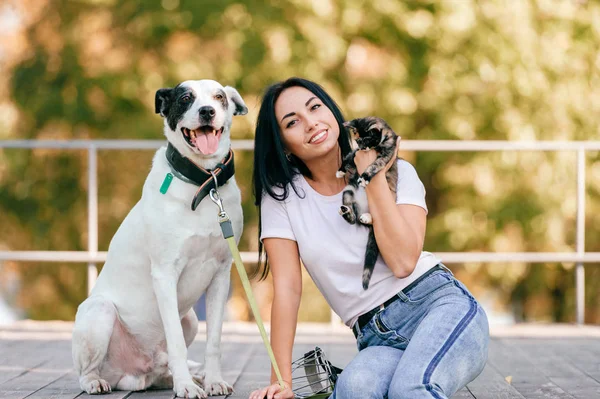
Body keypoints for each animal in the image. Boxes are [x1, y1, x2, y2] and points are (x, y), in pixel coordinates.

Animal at [72, 79, 246, 398]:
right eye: (186, 98)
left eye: (219, 97)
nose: (207, 111)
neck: (205, 184)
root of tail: (134, 374)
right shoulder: (165, 274)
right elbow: (175, 341)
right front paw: (187, 387)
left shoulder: (221, 274)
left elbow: (214, 341)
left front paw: (213, 381)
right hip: (99, 311)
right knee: (86, 371)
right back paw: (97, 382)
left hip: (190, 319)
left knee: (162, 366)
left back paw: (177, 377)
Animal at [338, 116, 398, 290]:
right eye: (357, 140)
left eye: (366, 139)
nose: (361, 146)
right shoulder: (356, 153)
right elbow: (350, 156)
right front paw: (340, 170)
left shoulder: (386, 154)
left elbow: (374, 165)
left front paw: (365, 177)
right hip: (348, 191)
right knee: (352, 218)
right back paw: (347, 212)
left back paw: (366, 217)